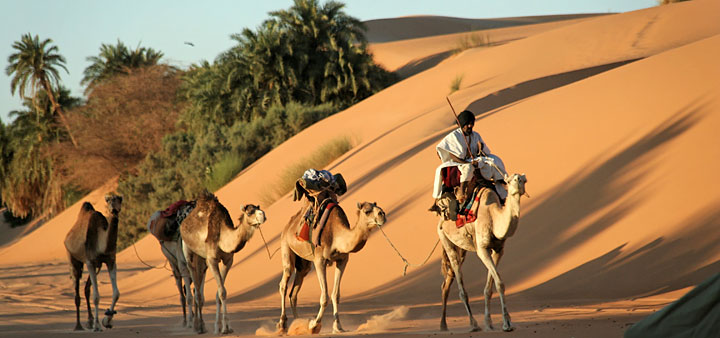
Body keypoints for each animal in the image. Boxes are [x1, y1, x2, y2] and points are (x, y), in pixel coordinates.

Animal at [64, 194, 123, 332]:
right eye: (108, 200)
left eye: (120, 199)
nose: (113, 209)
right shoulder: (90, 261)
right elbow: (96, 296)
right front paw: (97, 326)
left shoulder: (110, 261)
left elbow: (116, 293)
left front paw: (107, 320)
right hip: (72, 258)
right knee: (77, 292)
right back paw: (78, 326)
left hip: (97, 266)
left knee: (86, 289)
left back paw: (89, 322)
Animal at [180, 191, 268, 334]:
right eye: (250, 212)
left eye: (258, 208)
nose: (263, 214)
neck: (222, 236)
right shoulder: (212, 259)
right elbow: (222, 292)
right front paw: (224, 328)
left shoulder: (228, 260)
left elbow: (220, 293)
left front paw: (221, 326)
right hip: (188, 251)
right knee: (196, 291)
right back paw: (198, 326)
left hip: (202, 259)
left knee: (198, 286)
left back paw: (202, 325)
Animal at [278, 199, 388, 334]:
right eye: (367, 211)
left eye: (378, 207)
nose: (382, 214)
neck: (336, 236)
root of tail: (287, 226)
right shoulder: (319, 260)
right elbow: (324, 297)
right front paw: (313, 325)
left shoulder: (342, 260)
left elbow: (336, 295)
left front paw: (338, 327)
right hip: (286, 246)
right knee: (284, 282)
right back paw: (282, 324)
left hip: (303, 263)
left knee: (294, 292)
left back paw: (298, 324)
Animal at [434, 173, 528, 332]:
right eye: (509, 181)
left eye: (523, 179)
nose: (517, 182)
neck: (494, 217)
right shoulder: (482, 249)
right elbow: (499, 283)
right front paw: (506, 324)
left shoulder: (498, 250)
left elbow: (490, 288)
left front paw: (489, 323)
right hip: (445, 239)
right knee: (458, 279)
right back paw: (473, 324)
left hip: (461, 248)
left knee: (446, 282)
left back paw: (443, 325)